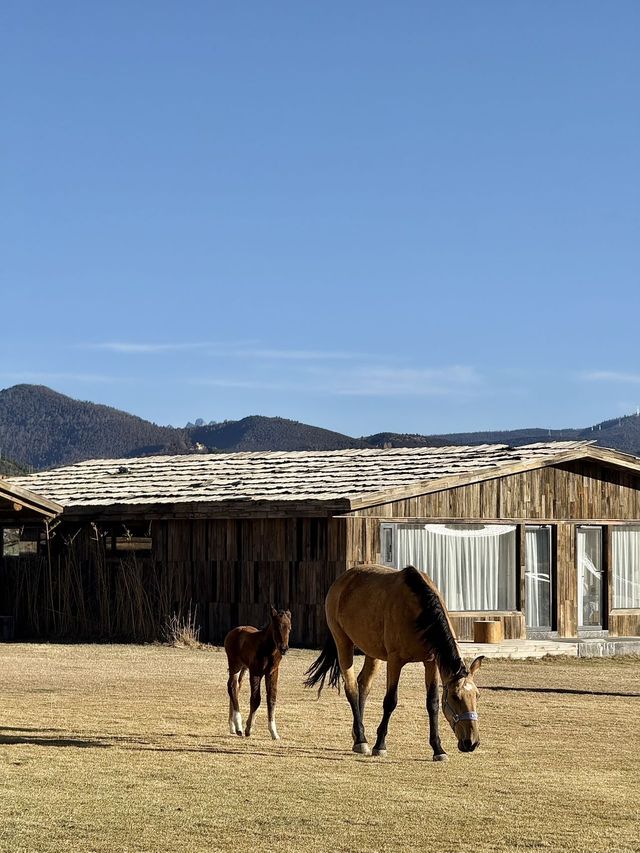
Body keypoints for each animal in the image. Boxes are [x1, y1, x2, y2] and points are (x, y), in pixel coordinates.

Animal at [224, 604, 292, 740]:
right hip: (234, 665)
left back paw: (232, 726)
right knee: (232, 687)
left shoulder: (272, 673)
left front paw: (274, 732)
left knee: (237, 687)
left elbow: (271, 699)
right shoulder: (256, 672)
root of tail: (233, 632)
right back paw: (238, 726)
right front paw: (248, 728)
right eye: (276, 627)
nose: (284, 648)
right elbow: (256, 699)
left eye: (289, 628)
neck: (268, 650)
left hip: (244, 668)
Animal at [304, 564, 480, 760]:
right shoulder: (395, 661)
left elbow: (432, 703)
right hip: (343, 643)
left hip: (373, 652)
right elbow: (390, 701)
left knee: (363, 685)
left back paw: (358, 733)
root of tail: (342, 580)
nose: (472, 742)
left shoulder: (431, 662)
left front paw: (438, 749)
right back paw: (361, 740)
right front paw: (380, 745)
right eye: (455, 697)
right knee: (351, 689)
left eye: (477, 695)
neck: (418, 610)